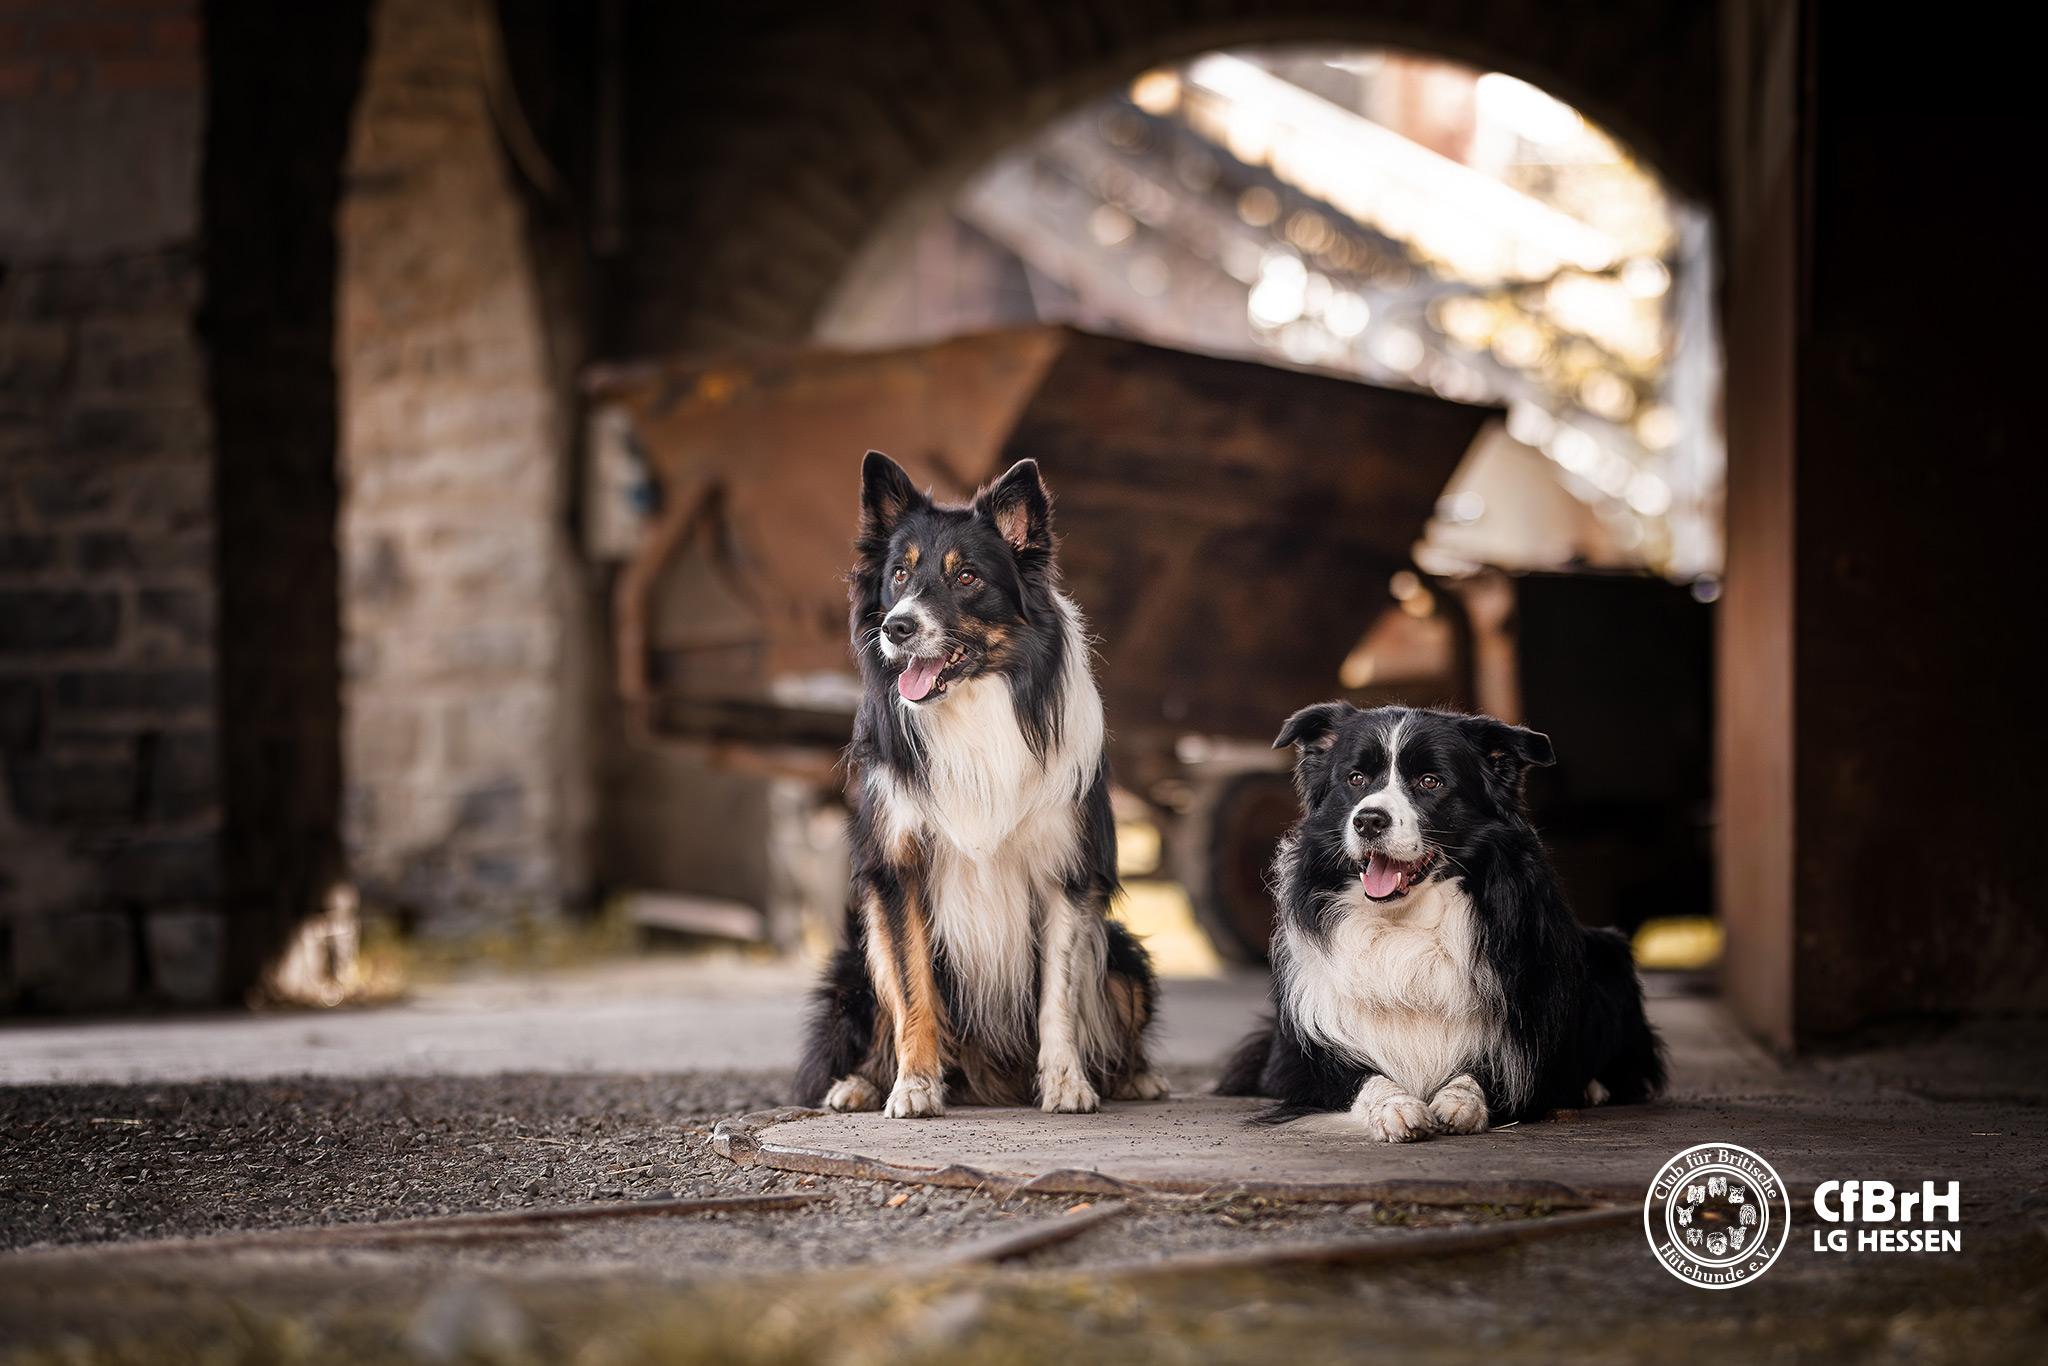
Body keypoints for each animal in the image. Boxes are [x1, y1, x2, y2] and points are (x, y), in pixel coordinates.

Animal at [794, 454, 1163, 1114]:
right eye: (898, 575)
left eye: (966, 577)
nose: (896, 628)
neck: (974, 705)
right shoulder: (898, 872)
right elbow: (913, 990)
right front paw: (914, 1086)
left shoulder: (1066, 872)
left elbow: (1059, 995)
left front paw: (1067, 1082)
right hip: (852, 962)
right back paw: (860, 1083)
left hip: (1125, 956)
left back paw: (1135, 1077)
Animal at [1212, 704, 1662, 1146]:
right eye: (1356, 779)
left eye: (1430, 781)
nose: (1368, 820)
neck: (1405, 925)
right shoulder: (1298, 1062)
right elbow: (1361, 1079)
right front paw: (1395, 1106)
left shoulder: (1526, 1046)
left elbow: (1492, 1074)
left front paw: (1460, 1100)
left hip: (1608, 951)